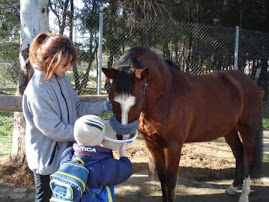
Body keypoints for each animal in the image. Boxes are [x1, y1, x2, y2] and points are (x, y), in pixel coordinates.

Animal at [102, 47, 262, 202]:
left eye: (138, 100)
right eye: (111, 98)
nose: (123, 137)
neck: (167, 94)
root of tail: (250, 82)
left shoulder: (173, 146)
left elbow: (171, 180)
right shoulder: (152, 143)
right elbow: (162, 177)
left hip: (248, 129)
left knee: (248, 157)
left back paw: (244, 195)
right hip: (229, 130)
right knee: (238, 152)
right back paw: (233, 187)